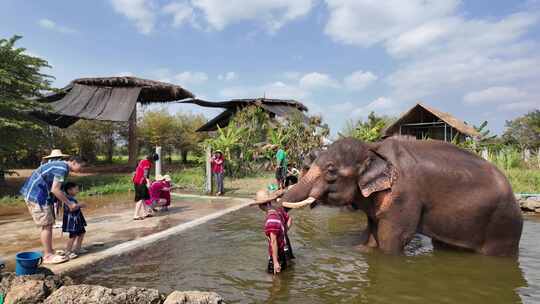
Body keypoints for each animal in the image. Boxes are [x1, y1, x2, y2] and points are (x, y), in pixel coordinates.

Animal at [278, 137, 524, 255]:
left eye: (331, 171)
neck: (372, 147)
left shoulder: (403, 196)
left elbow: (393, 239)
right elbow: (371, 234)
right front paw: (361, 250)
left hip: (503, 226)